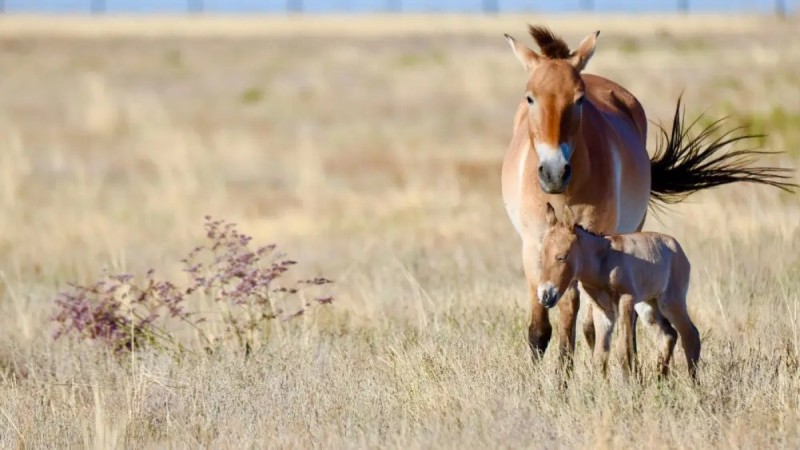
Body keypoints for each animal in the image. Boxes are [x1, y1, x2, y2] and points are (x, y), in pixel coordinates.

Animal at [539, 203, 700, 379]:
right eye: (541, 256)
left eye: (562, 256)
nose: (545, 296)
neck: (603, 262)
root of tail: (677, 248)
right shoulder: (603, 310)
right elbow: (600, 354)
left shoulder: (625, 300)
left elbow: (623, 348)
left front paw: (628, 385)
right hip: (648, 306)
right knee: (668, 336)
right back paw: (660, 381)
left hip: (671, 302)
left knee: (690, 335)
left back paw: (693, 383)